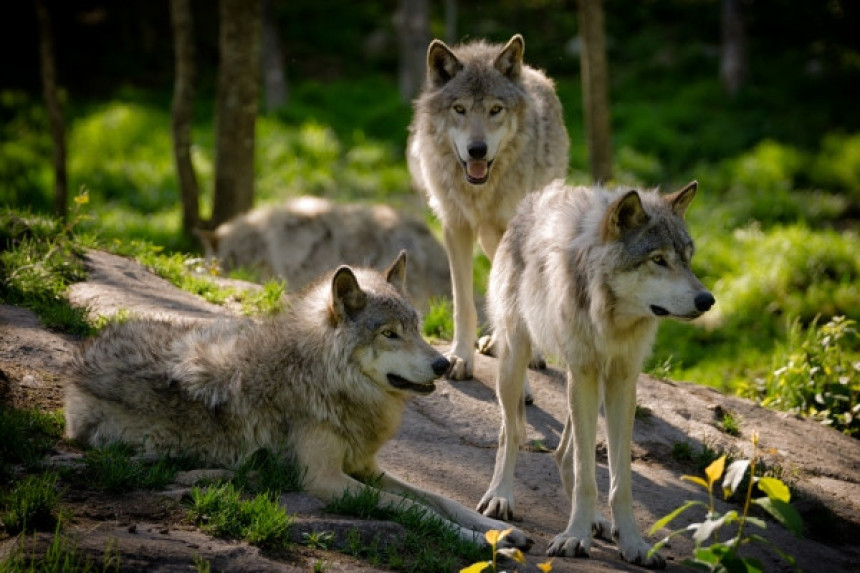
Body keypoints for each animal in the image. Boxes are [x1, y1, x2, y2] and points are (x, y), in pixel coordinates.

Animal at [63, 252, 532, 548]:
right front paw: (483, 544)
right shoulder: (325, 479)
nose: (442, 364)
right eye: (389, 334)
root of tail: (81, 356)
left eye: (416, 328)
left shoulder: (366, 468)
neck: (321, 376)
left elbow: (442, 500)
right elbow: (415, 509)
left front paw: (497, 530)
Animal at [406, 34, 568, 384]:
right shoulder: (455, 227)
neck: (479, 191)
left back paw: (528, 352)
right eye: (460, 109)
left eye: (495, 110)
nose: (477, 150)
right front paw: (459, 358)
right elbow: (463, 303)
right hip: (487, 238)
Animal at [478, 181, 712, 564]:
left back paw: (598, 521)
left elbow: (619, 480)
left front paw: (632, 542)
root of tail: (533, 199)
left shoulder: (621, 380)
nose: (707, 300)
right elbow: (587, 476)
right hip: (516, 361)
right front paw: (575, 537)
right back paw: (500, 496)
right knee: (510, 434)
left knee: (563, 455)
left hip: (590, 387)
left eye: (687, 258)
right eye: (658, 259)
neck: (611, 318)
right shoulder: (583, 372)